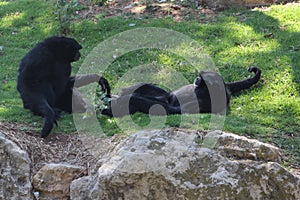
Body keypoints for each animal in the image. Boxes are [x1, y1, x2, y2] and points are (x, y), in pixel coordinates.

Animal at [101, 67, 260, 117]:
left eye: (202, 77)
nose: (197, 78)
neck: (203, 92)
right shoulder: (224, 88)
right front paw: (253, 78)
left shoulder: (203, 103)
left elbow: (171, 109)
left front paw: (126, 98)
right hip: (162, 94)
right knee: (160, 92)